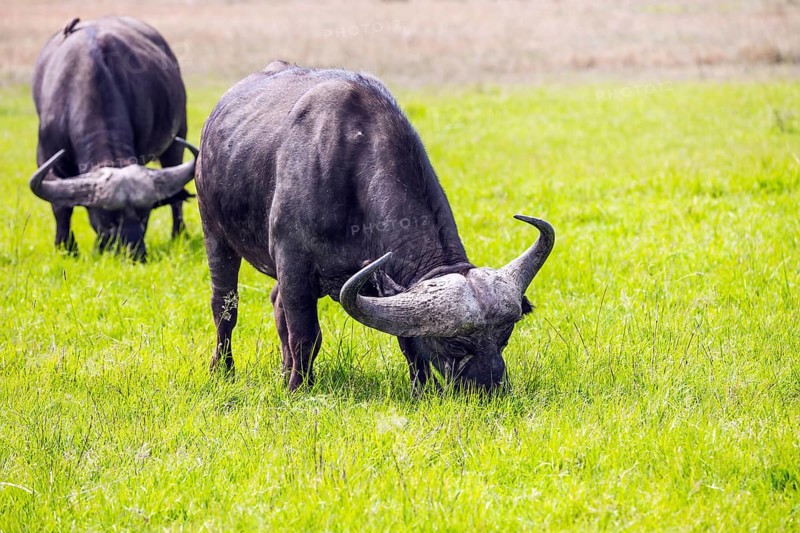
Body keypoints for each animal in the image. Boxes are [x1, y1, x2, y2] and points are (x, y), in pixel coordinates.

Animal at [30, 16, 197, 261]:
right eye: (106, 219)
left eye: (144, 216)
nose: (134, 254)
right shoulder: (46, 157)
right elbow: (61, 207)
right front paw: (67, 248)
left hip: (176, 140)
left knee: (177, 198)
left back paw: (179, 234)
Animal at [197, 61, 555, 393]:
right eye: (455, 343)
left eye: (504, 335)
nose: (491, 388)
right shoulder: (293, 265)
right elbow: (306, 335)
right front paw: (299, 387)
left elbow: (409, 343)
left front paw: (422, 390)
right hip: (214, 231)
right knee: (225, 306)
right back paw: (224, 370)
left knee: (275, 302)